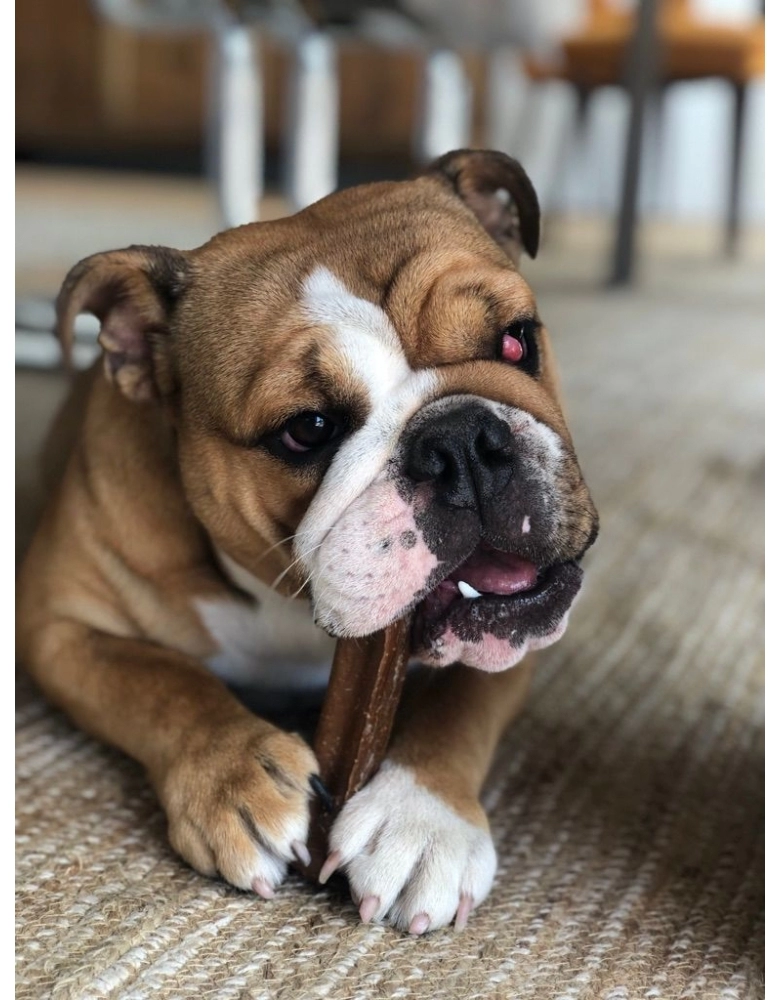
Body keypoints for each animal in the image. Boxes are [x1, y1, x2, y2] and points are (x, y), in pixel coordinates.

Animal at [17, 150, 598, 935]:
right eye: (307, 429)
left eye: (515, 340)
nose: (459, 443)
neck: (292, 598)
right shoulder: (57, 627)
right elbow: (160, 680)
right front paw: (236, 774)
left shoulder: (516, 644)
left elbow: (457, 708)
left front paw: (420, 819)